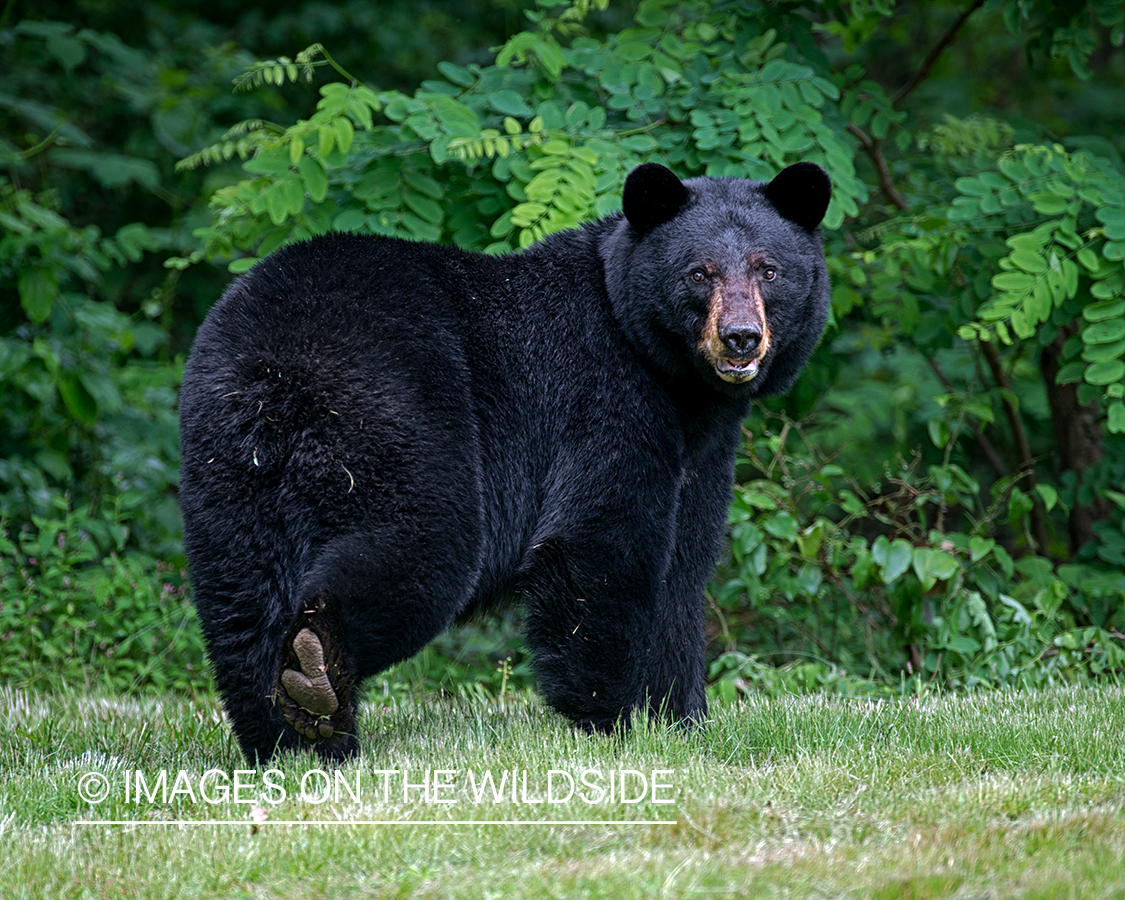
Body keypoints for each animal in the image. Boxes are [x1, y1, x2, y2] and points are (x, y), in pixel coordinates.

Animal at [175, 159, 828, 760]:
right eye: (699, 272)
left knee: (242, 598)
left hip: (230, 466)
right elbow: (599, 542)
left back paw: (293, 737)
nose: (740, 337)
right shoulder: (607, 401)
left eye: (769, 269)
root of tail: (280, 370)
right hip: (400, 415)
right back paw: (318, 675)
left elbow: (684, 567)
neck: (675, 379)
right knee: (425, 546)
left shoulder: (701, 446)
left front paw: (684, 722)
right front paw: (612, 722)